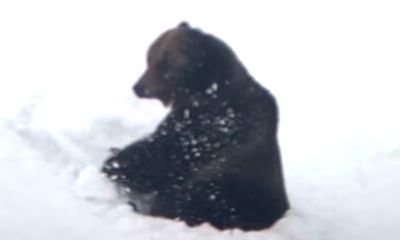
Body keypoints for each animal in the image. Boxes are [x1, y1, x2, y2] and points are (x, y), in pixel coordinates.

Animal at [101, 22, 290, 231]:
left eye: (163, 63)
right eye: (148, 58)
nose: (138, 87)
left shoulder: (205, 131)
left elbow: (162, 156)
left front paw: (114, 165)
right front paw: (114, 155)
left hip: (229, 190)